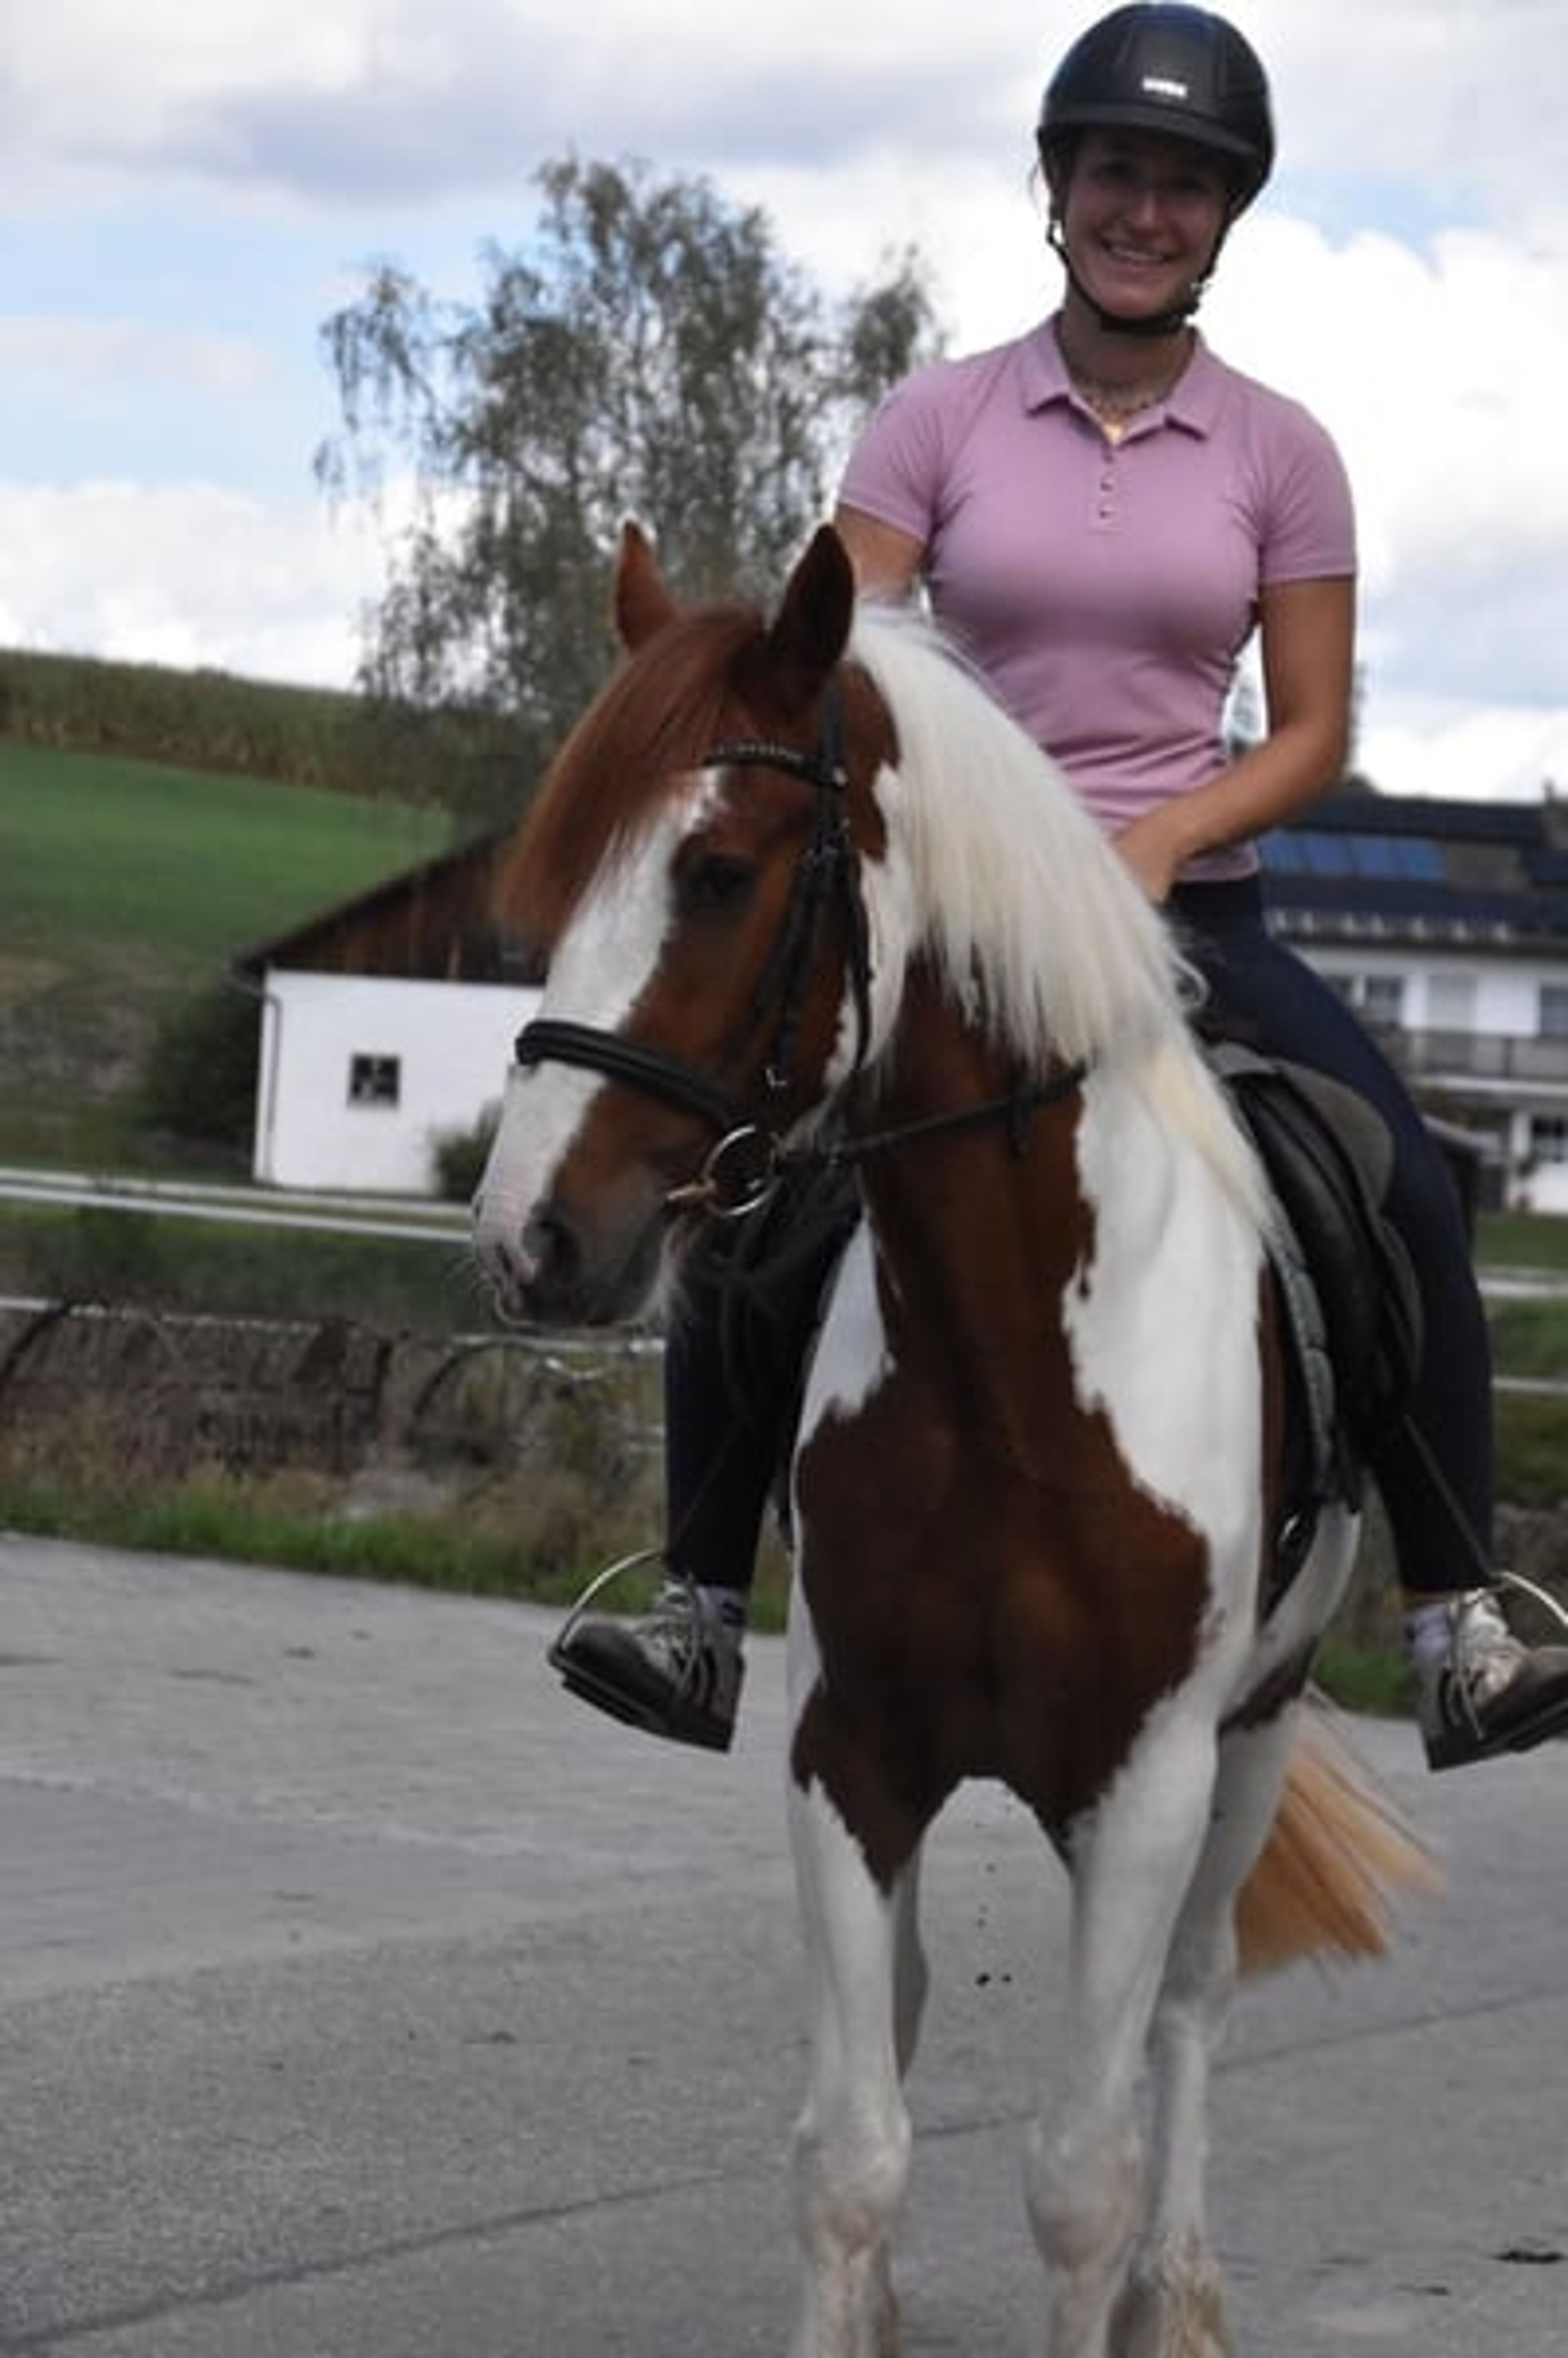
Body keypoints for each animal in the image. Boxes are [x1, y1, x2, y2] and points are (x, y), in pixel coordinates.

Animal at [473, 522, 1436, 2358]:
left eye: (718, 872)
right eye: (557, 884)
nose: (531, 1238)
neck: (1013, 1367)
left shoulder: (1148, 1775)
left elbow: (1080, 2174)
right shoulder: (851, 1753)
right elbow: (852, 2154)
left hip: (1253, 1736)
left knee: (1189, 2011)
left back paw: (1177, 2300)